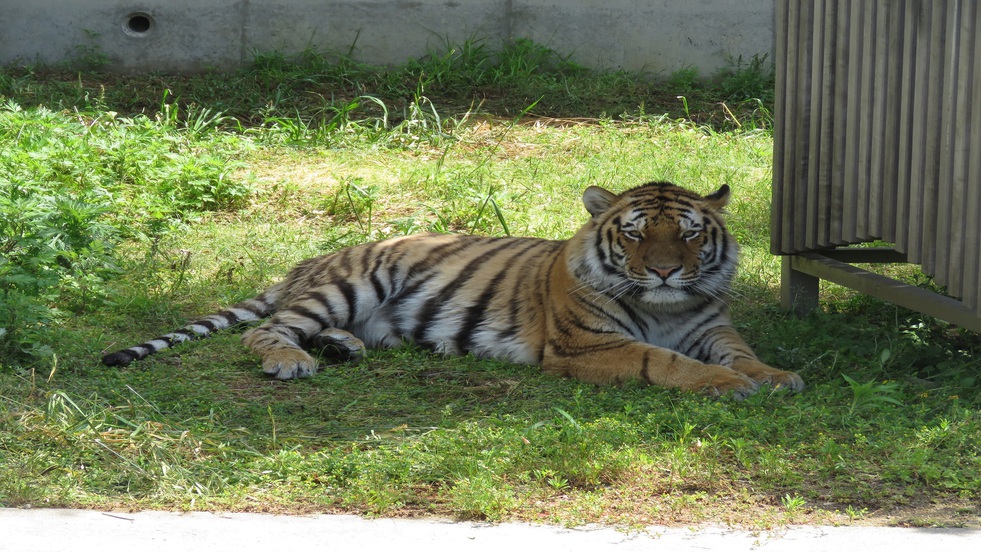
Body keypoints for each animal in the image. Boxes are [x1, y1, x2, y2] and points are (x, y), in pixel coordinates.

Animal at [101, 183, 804, 398]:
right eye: (634, 234)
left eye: (687, 234)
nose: (661, 272)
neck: (665, 305)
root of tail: (312, 258)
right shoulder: (588, 347)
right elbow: (666, 361)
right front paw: (728, 385)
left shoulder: (713, 327)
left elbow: (741, 353)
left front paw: (776, 375)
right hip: (354, 283)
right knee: (266, 330)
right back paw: (292, 361)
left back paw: (342, 349)